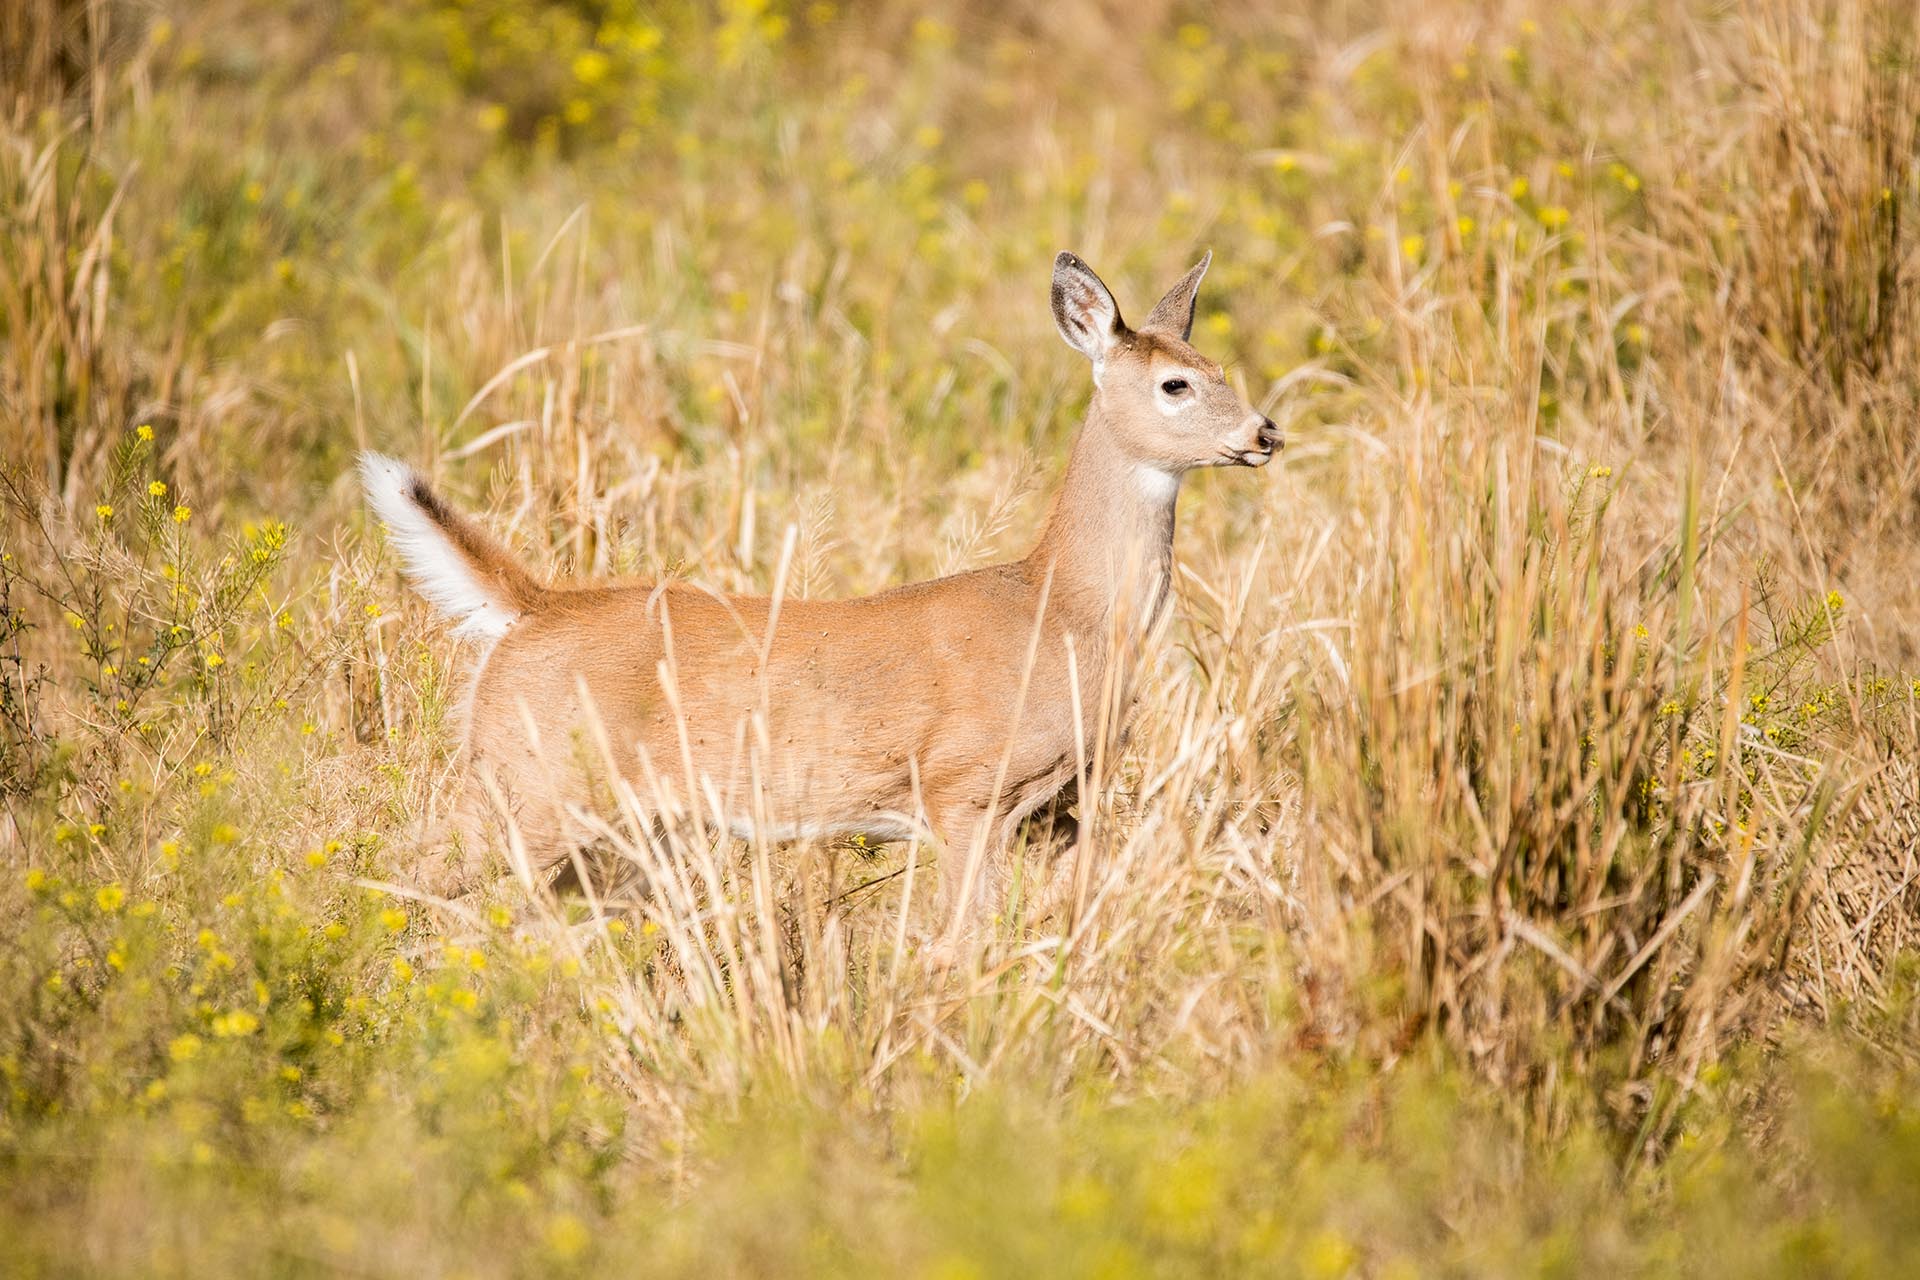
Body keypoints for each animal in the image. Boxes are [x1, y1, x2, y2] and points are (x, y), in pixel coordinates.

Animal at [360, 250, 1280, 937]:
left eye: (1220, 367)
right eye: (1175, 385)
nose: (1265, 432)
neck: (1063, 609)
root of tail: (534, 608)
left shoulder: (1060, 808)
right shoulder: (962, 788)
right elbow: (963, 943)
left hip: (609, 823)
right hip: (529, 782)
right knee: (405, 869)